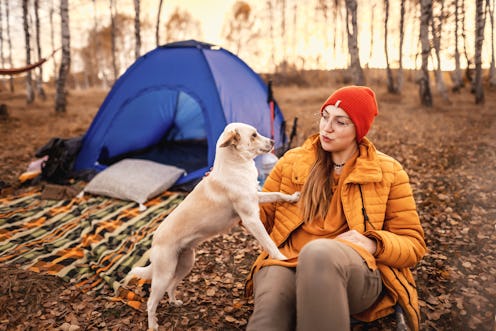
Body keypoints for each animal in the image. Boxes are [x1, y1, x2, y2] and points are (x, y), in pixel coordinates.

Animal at [126, 123, 300, 330]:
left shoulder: (256, 198)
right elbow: (269, 242)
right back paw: (153, 325)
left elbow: (277, 194)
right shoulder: (250, 218)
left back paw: (174, 302)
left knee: (172, 286)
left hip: (185, 264)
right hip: (164, 273)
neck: (235, 166)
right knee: (151, 302)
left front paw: (293, 198)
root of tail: (154, 240)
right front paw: (281, 258)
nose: (273, 142)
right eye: (253, 135)